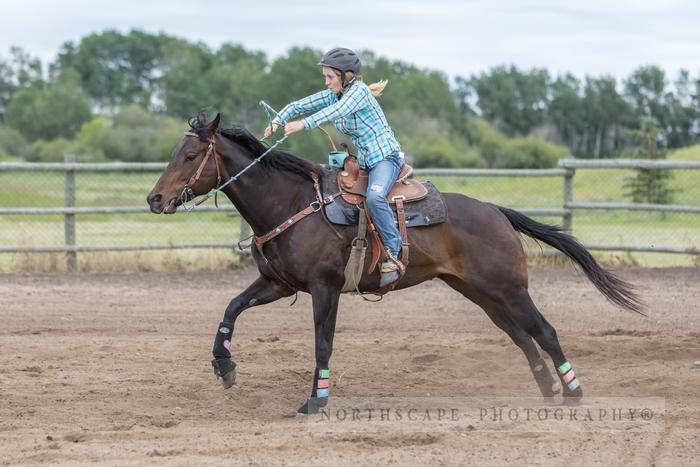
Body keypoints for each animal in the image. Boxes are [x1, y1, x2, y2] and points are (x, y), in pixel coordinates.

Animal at [146, 111, 640, 414]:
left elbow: (322, 343)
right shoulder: (277, 283)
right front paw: (223, 367)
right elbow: (230, 309)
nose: (154, 199)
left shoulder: (325, 288)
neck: (292, 203)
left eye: (190, 155)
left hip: (509, 289)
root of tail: (495, 211)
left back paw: (573, 393)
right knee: (521, 337)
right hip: (481, 293)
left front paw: (315, 402)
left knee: (545, 331)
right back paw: (547, 392)